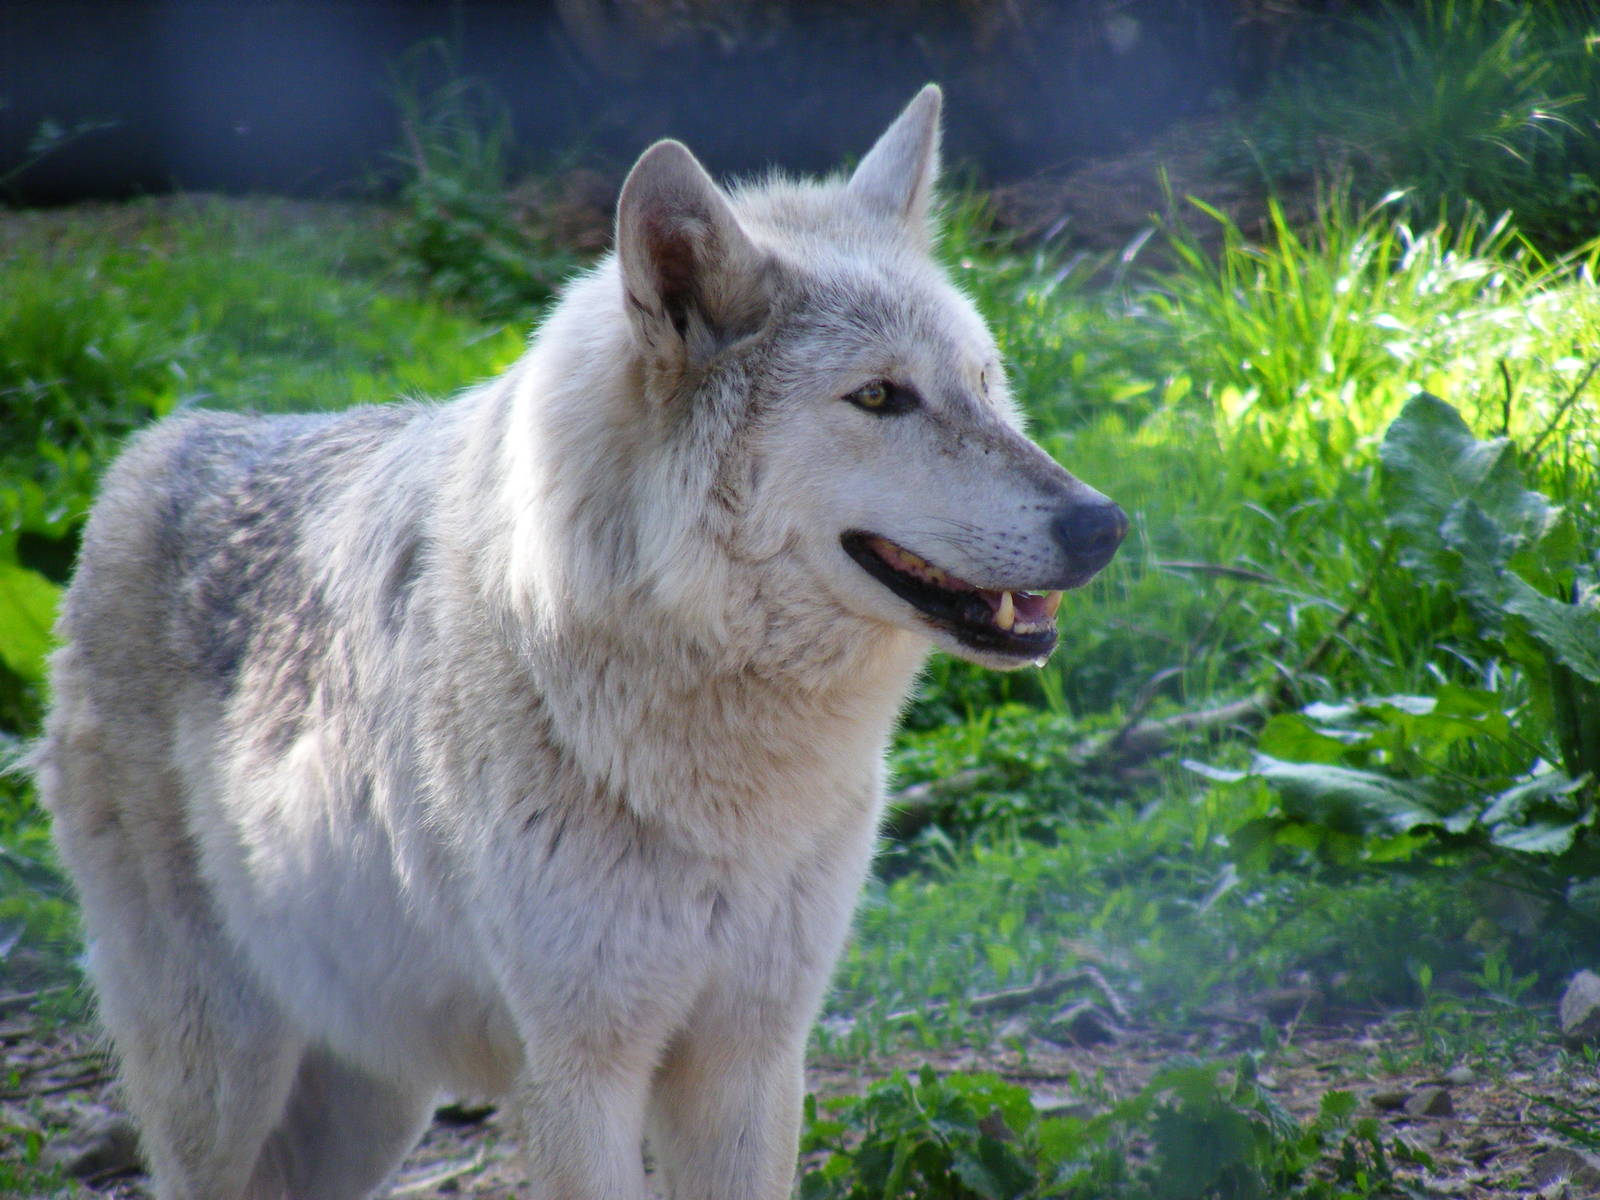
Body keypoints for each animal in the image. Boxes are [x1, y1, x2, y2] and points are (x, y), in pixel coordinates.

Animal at [36, 85, 1125, 1199]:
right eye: (878, 397)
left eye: (985, 384)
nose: (1102, 524)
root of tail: (155, 446)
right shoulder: (576, 1071)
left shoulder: (750, 1060)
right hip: (224, 1078)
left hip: (372, 1106)